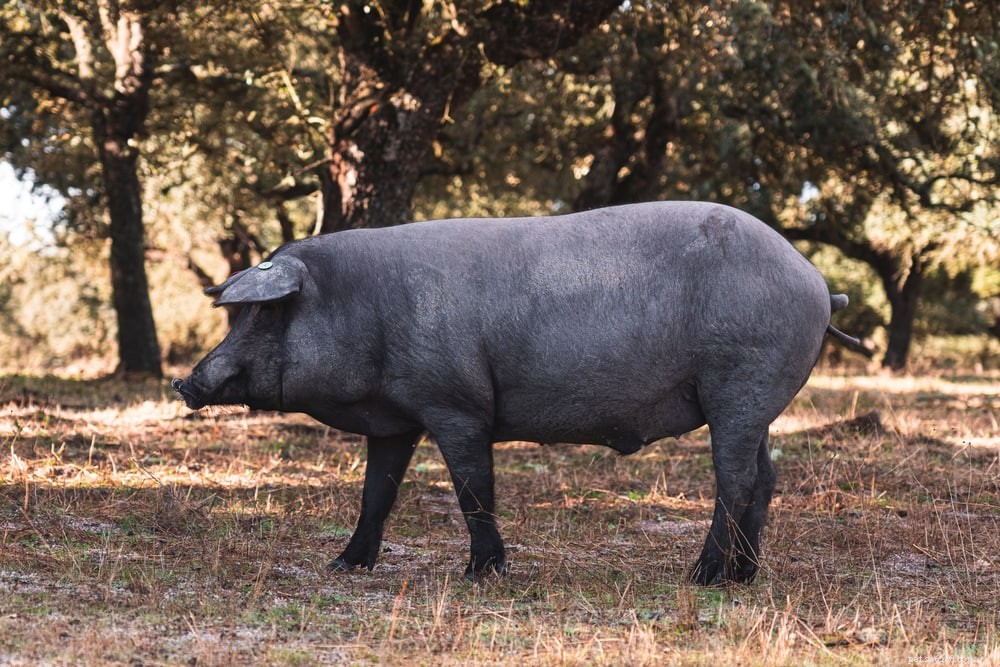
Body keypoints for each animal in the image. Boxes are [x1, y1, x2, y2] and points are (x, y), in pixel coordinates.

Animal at [172, 201, 863, 585]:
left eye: (265, 312)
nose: (186, 380)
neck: (360, 306)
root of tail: (816, 280)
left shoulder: (456, 405)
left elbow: (472, 489)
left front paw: (482, 574)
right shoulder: (397, 419)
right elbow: (377, 494)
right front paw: (344, 566)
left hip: (741, 382)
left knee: (736, 481)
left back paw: (703, 579)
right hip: (759, 402)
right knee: (766, 478)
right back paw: (744, 578)